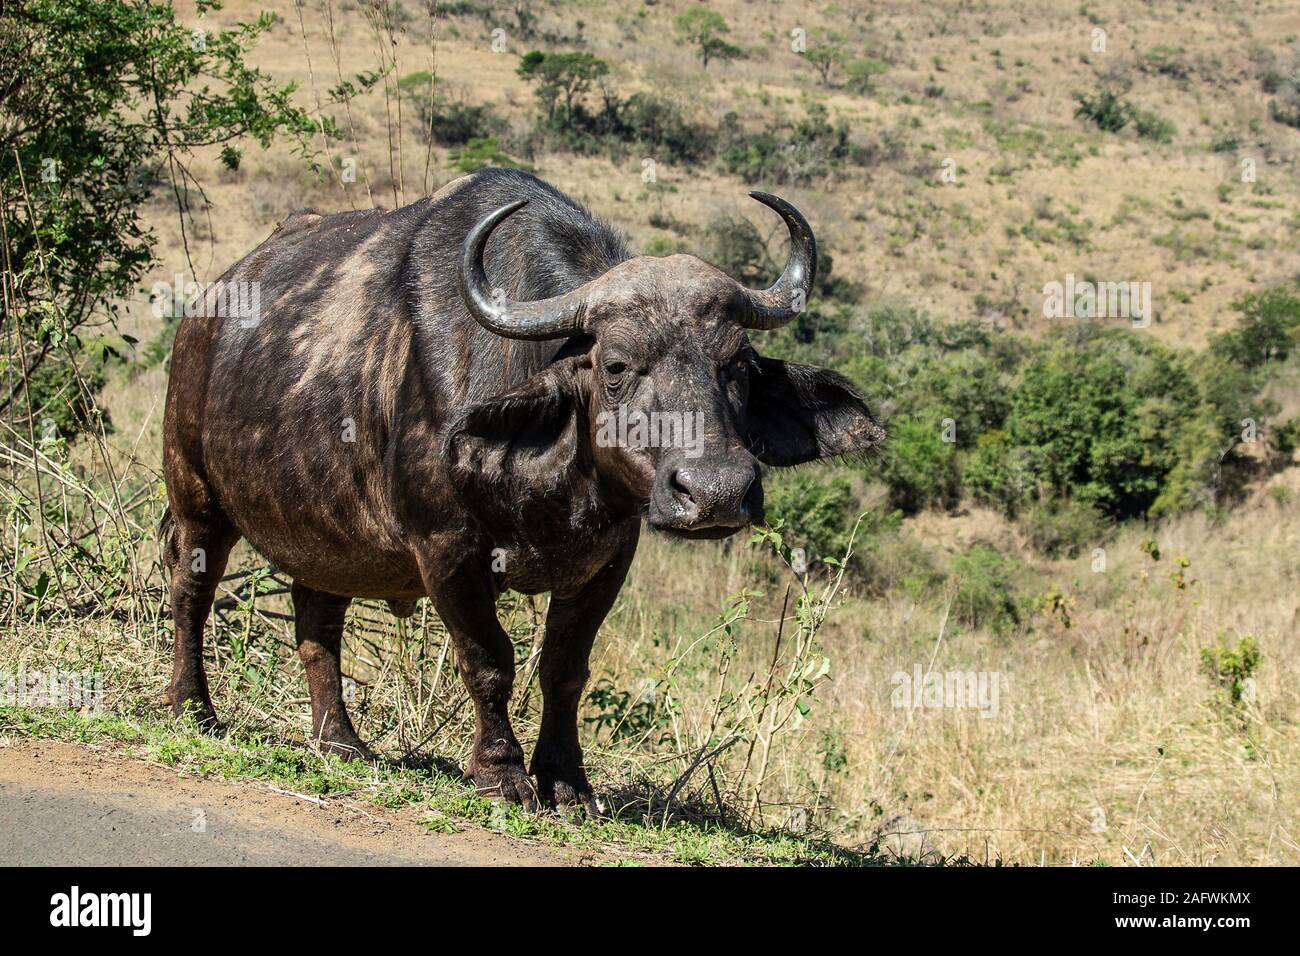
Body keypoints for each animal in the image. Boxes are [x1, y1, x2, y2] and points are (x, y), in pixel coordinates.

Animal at [157, 167, 878, 811]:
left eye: (737, 366)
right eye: (616, 365)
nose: (717, 492)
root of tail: (205, 311)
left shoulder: (608, 561)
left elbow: (564, 667)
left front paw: (565, 781)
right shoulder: (446, 550)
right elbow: (490, 659)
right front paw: (502, 776)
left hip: (329, 536)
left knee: (317, 622)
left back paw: (340, 741)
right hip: (195, 495)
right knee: (190, 591)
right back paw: (193, 707)